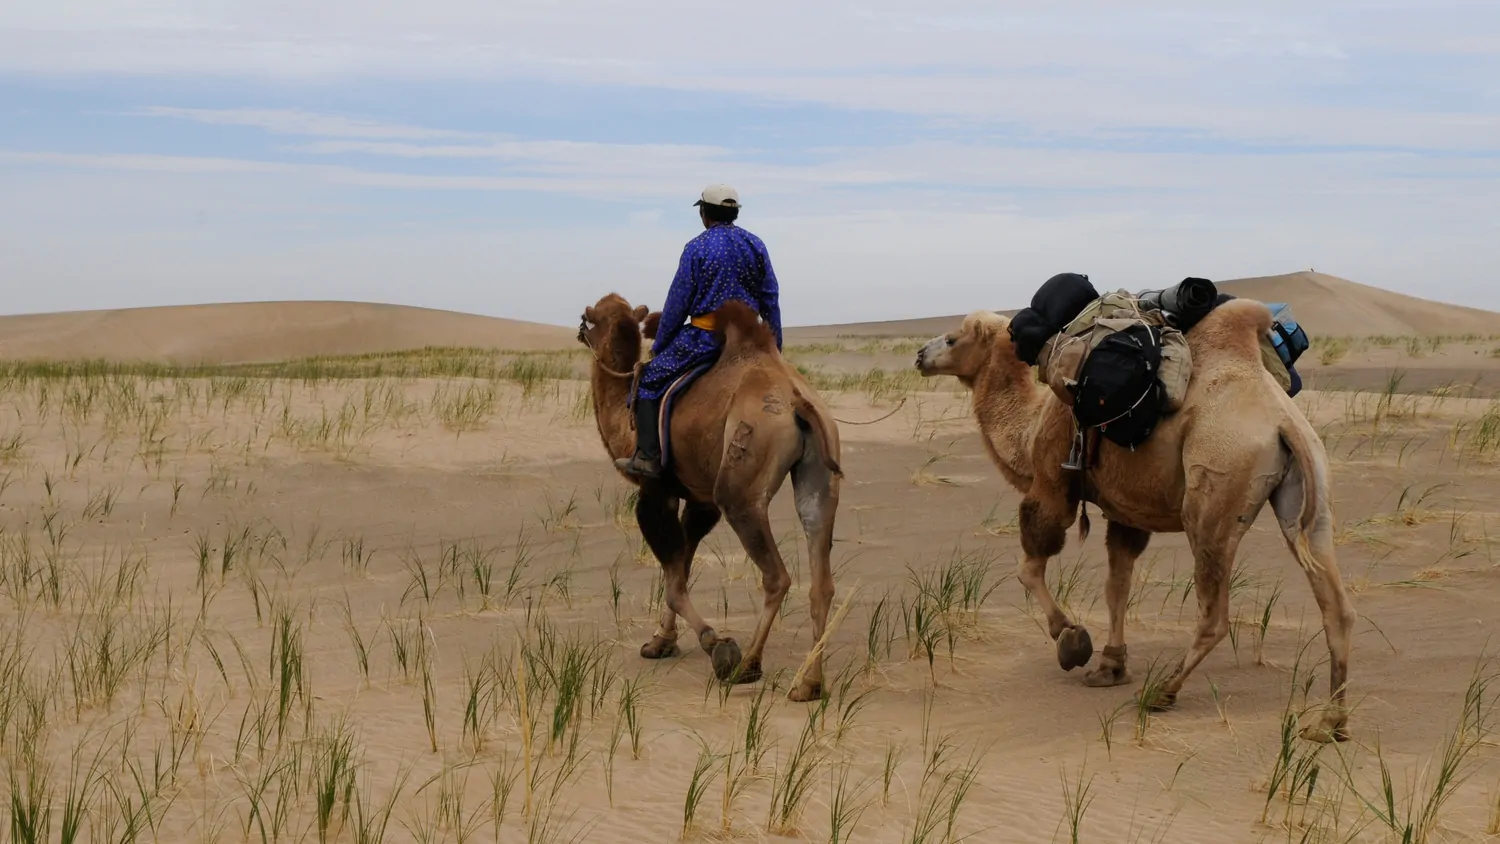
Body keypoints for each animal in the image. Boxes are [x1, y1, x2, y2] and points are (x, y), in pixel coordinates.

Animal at [576, 293, 846, 704]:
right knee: (821, 575)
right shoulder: (699, 500)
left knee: (776, 576)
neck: (624, 416)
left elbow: (674, 581)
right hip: (820, 472)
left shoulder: (657, 492)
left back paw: (746, 665)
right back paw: (808, 684)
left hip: (740, 485)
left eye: (589, 318)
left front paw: (714, 643)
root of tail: (797, 402)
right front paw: (661, 642)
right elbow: (681, 568)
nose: (581, 333)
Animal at [912, 298, 1362, 746]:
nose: (919, 355)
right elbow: (1118, 586)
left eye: (952, 338)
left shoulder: (1052, 481)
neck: (1029, 428)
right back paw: (1330, 722)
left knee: (1214, 611)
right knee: (1335, 605)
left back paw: (1162, 692)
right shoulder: (1125, 512)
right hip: (1310, 491)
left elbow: (1029, 567)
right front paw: (1111, 666)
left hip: (1214, 488)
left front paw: (1071, 638)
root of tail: (1280, 420)